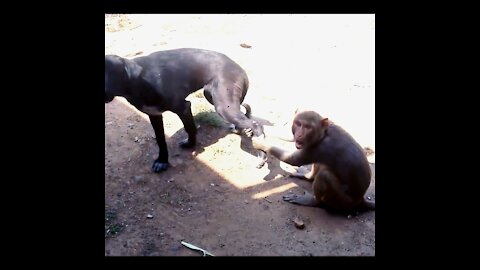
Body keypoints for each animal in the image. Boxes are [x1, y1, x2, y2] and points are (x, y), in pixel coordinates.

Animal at [104, 47, 266, 172]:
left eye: (107, 73)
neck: (135, 80)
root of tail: (238, 67)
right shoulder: (154, 114)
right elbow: (160, 139)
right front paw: (162, 160)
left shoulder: (183, 107)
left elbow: (190, 128)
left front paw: (191, 145)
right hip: (212, 96)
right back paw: (242, 130)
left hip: (223, 105)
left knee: (256, 125)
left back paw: (261, 153)